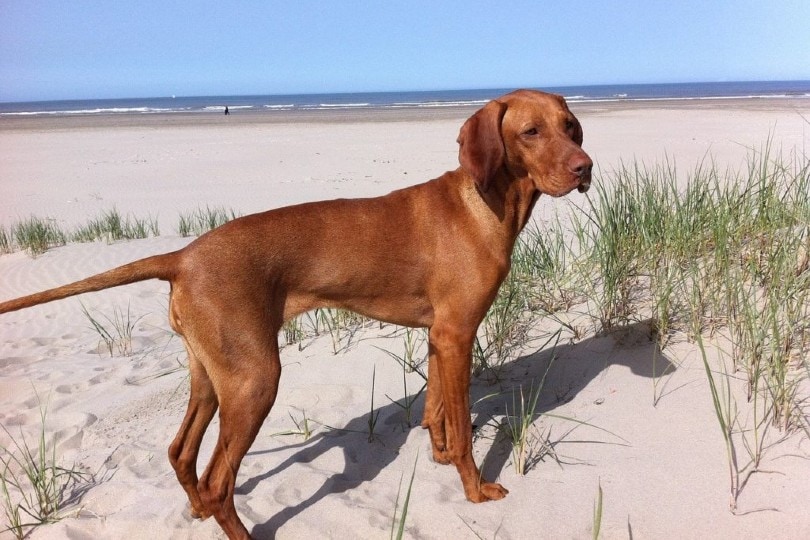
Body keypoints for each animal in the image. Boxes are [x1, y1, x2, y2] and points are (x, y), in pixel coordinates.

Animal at [0, 90, 592, 536]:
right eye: (531, 132)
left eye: (570, 128)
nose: (586, 168)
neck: (483, 200)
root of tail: (183, 256)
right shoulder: (458, 334)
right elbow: (464, 427)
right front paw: (474, 489)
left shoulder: (439, 336)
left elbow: (437, 413)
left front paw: (441, 458)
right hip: (256, 379)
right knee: (218, 480)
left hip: (212, 376)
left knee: (180, 453)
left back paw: (195, 510)